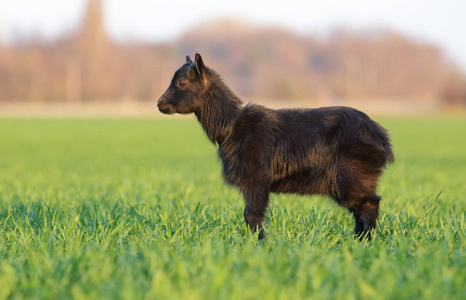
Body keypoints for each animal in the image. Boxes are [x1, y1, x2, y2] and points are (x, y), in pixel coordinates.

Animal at [157, 54, 394, 240]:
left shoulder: (257, 179)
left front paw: (259, 244)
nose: (160, 103)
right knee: (360, 210)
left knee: (370, 205)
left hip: (353, 176)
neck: (232, 126)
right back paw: (357, 240)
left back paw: (365, 242)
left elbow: (251, 215)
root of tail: (382, 138)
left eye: (182, 83)